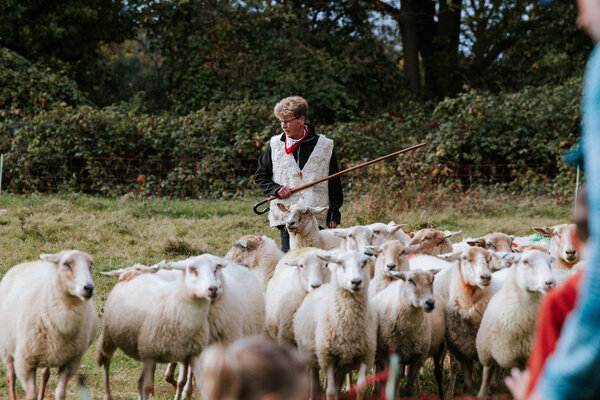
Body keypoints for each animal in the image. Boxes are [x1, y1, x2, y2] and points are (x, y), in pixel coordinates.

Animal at [0, 250, 99, 400]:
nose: (88, 288)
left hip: (49, 352)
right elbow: (31, 395)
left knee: (45, 374)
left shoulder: (71, 363)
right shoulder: (25, 363)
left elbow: (60, 393)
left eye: (90, 266)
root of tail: (29, 262)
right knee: (10, 377)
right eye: (66, 265)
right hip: (7, 348)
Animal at [292, 248, 376, 398]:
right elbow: (330, 391)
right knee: (313, 376)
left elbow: (360, 388)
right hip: (310, 355)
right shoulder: (327, 358)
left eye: (364, 263)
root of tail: (322, 286)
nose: (356, 282)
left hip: (342, 364)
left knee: (338, 383)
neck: (349, 326)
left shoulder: (365, 355)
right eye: (340, 264)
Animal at [476, 250, 556, 400]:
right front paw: (481, 394)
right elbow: (485, 375)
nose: (550, 282)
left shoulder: (529, 356)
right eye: (525, 261)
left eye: (550, 263)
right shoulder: (486, 352)